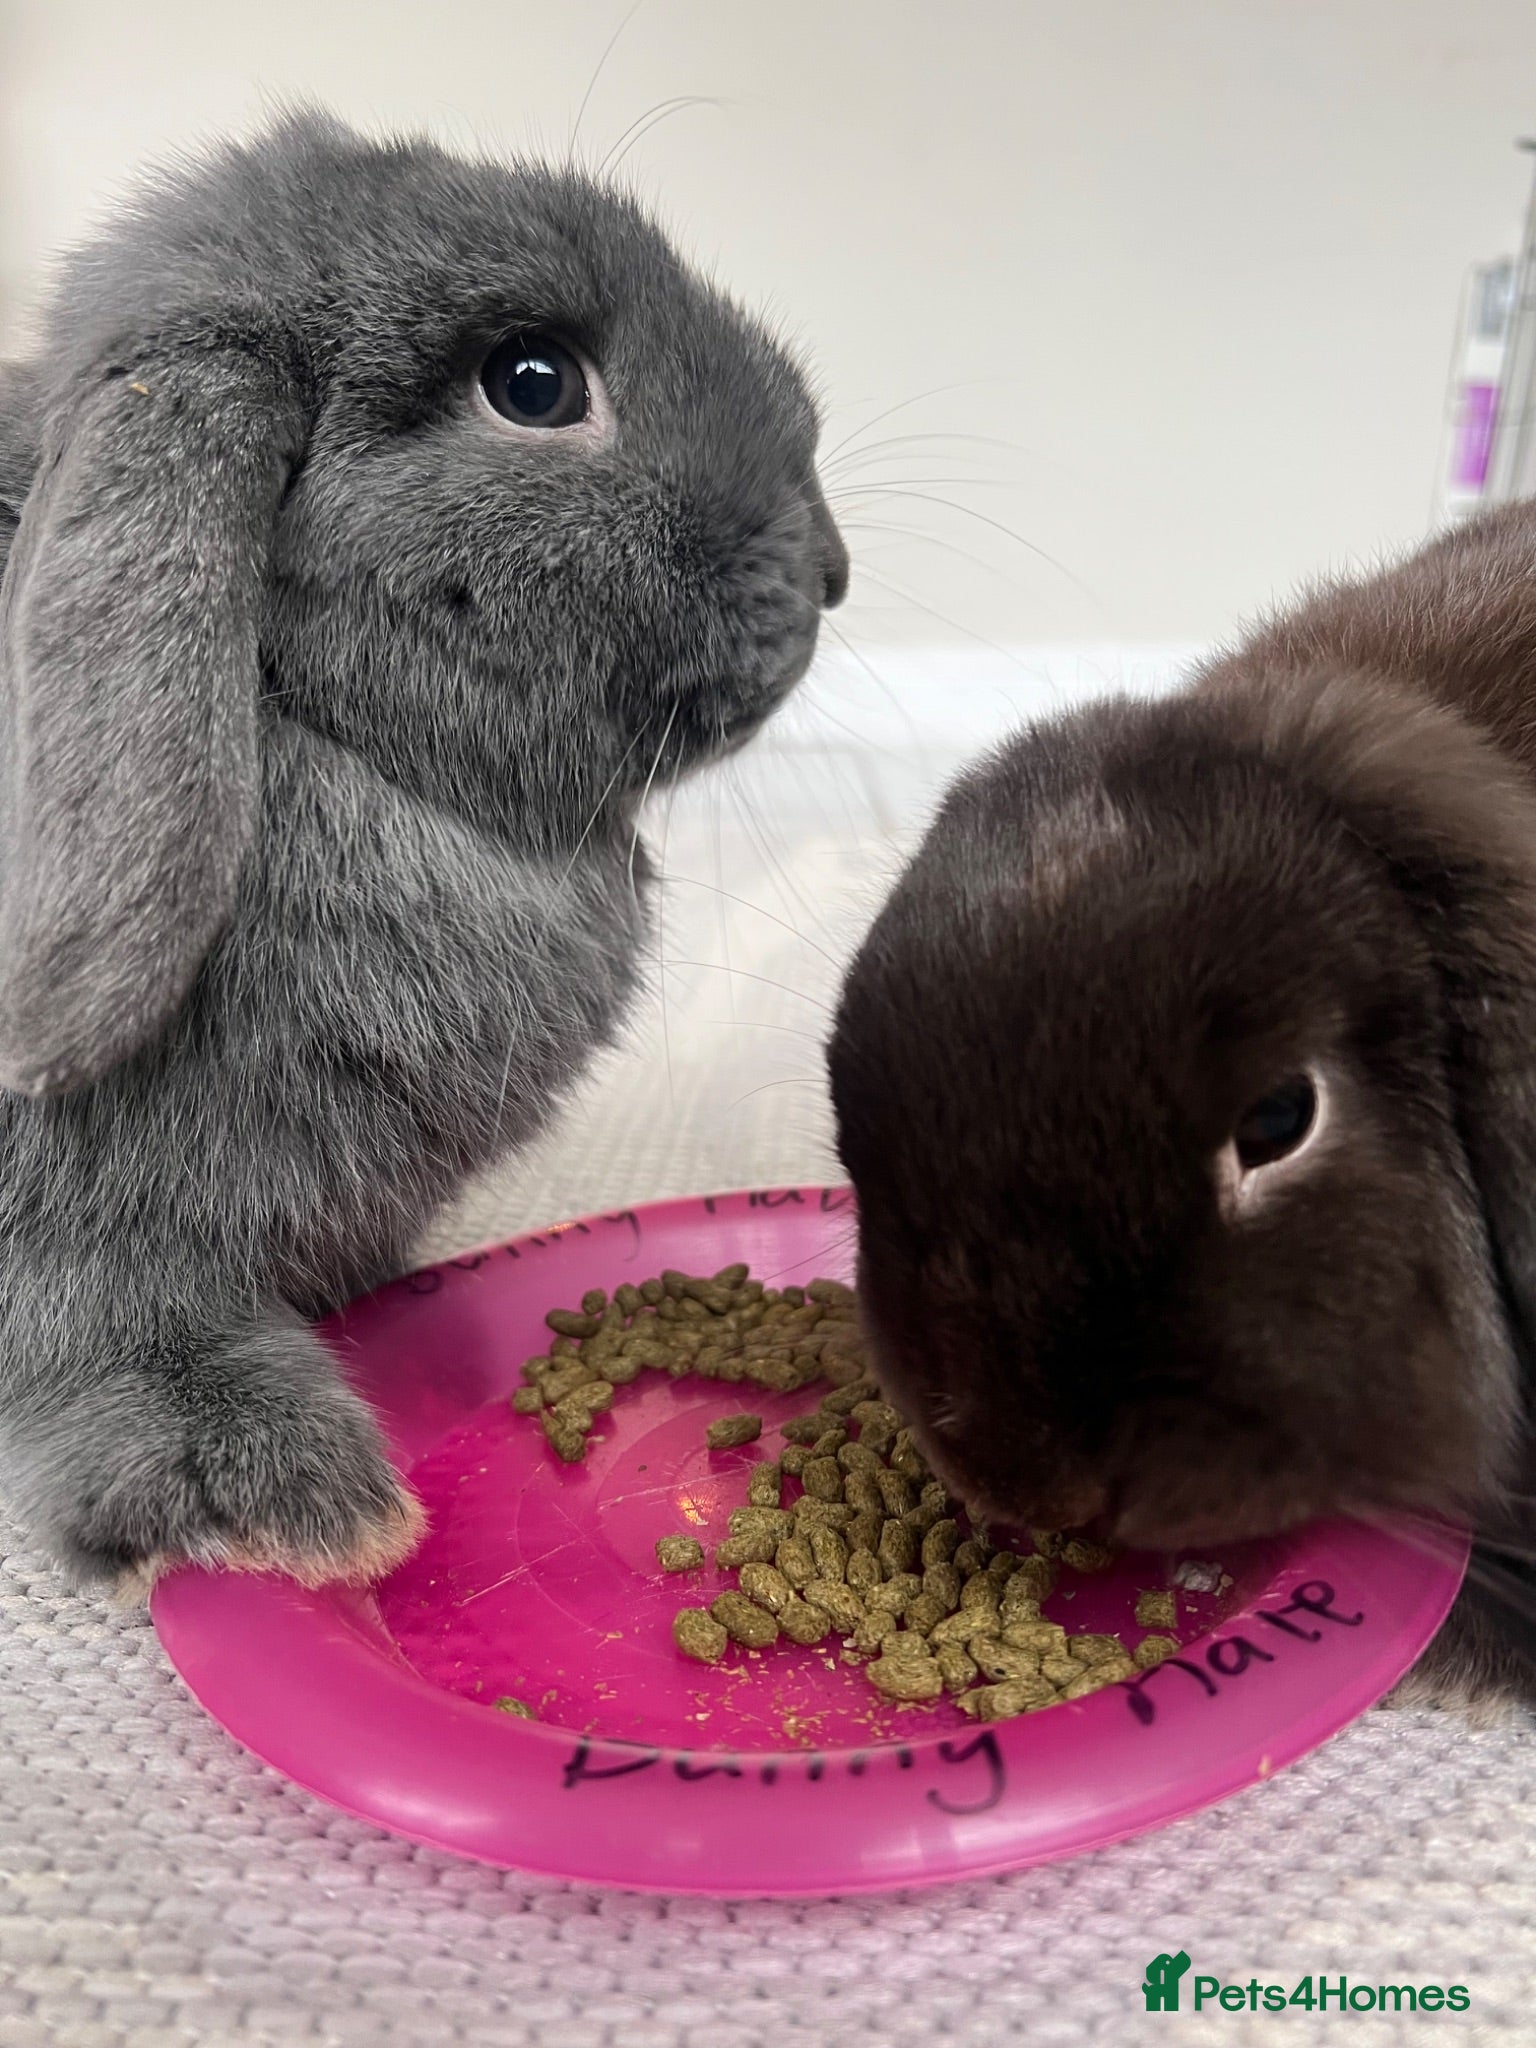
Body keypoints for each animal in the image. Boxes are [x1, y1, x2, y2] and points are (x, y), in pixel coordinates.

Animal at [0, 107, 848, 1592]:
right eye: (533, 382)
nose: (835, 569)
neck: (304, 715)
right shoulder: (88, 1238)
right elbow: (110, 1338)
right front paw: (276, 1502)